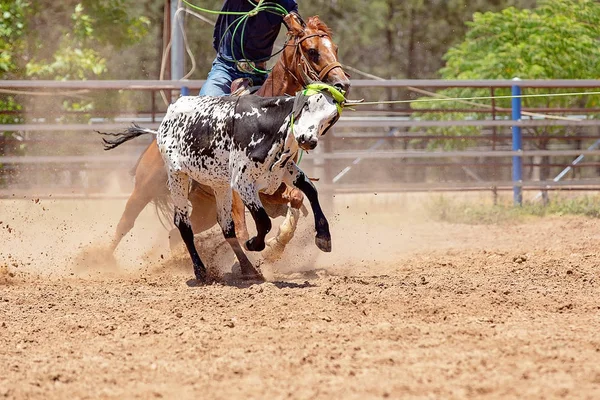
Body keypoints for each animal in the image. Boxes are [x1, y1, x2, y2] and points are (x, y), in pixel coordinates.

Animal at [101, 91, 340, 282]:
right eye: (307, 106)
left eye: (329, 118)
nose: (308, 139)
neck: (266, 124)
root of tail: (164, 123)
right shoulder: (242, 182)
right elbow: (263, 221)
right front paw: (254, 243)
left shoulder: (285, 171)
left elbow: (310, 190)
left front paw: (323, 237)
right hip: (175, 177)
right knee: (176, 224)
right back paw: (199, 270)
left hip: (218, 188)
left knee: (224, 226)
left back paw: (247, 269)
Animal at [110, 13, 350, 260]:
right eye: (312, 51)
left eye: (335, 48)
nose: (343, 84)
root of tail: (158, 134)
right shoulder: (237, 188)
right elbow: (242, 228)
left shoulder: (273, 189)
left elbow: (297, 198)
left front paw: (279, 243)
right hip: (144, 189)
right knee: (125, 223)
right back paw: (102, 259)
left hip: (203, 208)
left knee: (174, 234)